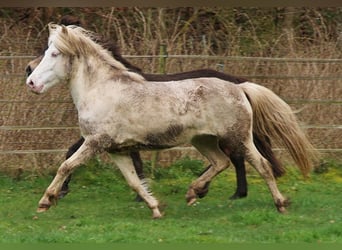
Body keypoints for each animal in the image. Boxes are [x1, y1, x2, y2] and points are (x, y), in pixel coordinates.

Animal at [25, 24, 316, 218]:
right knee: (221, 162)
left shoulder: (95, 143)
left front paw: (46, 200)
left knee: (261, 165)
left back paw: (279, 204)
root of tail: (239, 86)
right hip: (204, 140)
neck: (102, 89)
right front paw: (155, 208)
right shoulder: (117, 150)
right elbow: (134, 180)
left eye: (53, 53)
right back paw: (193, 192)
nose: (30, 81)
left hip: (238, 138)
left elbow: (66, 165)